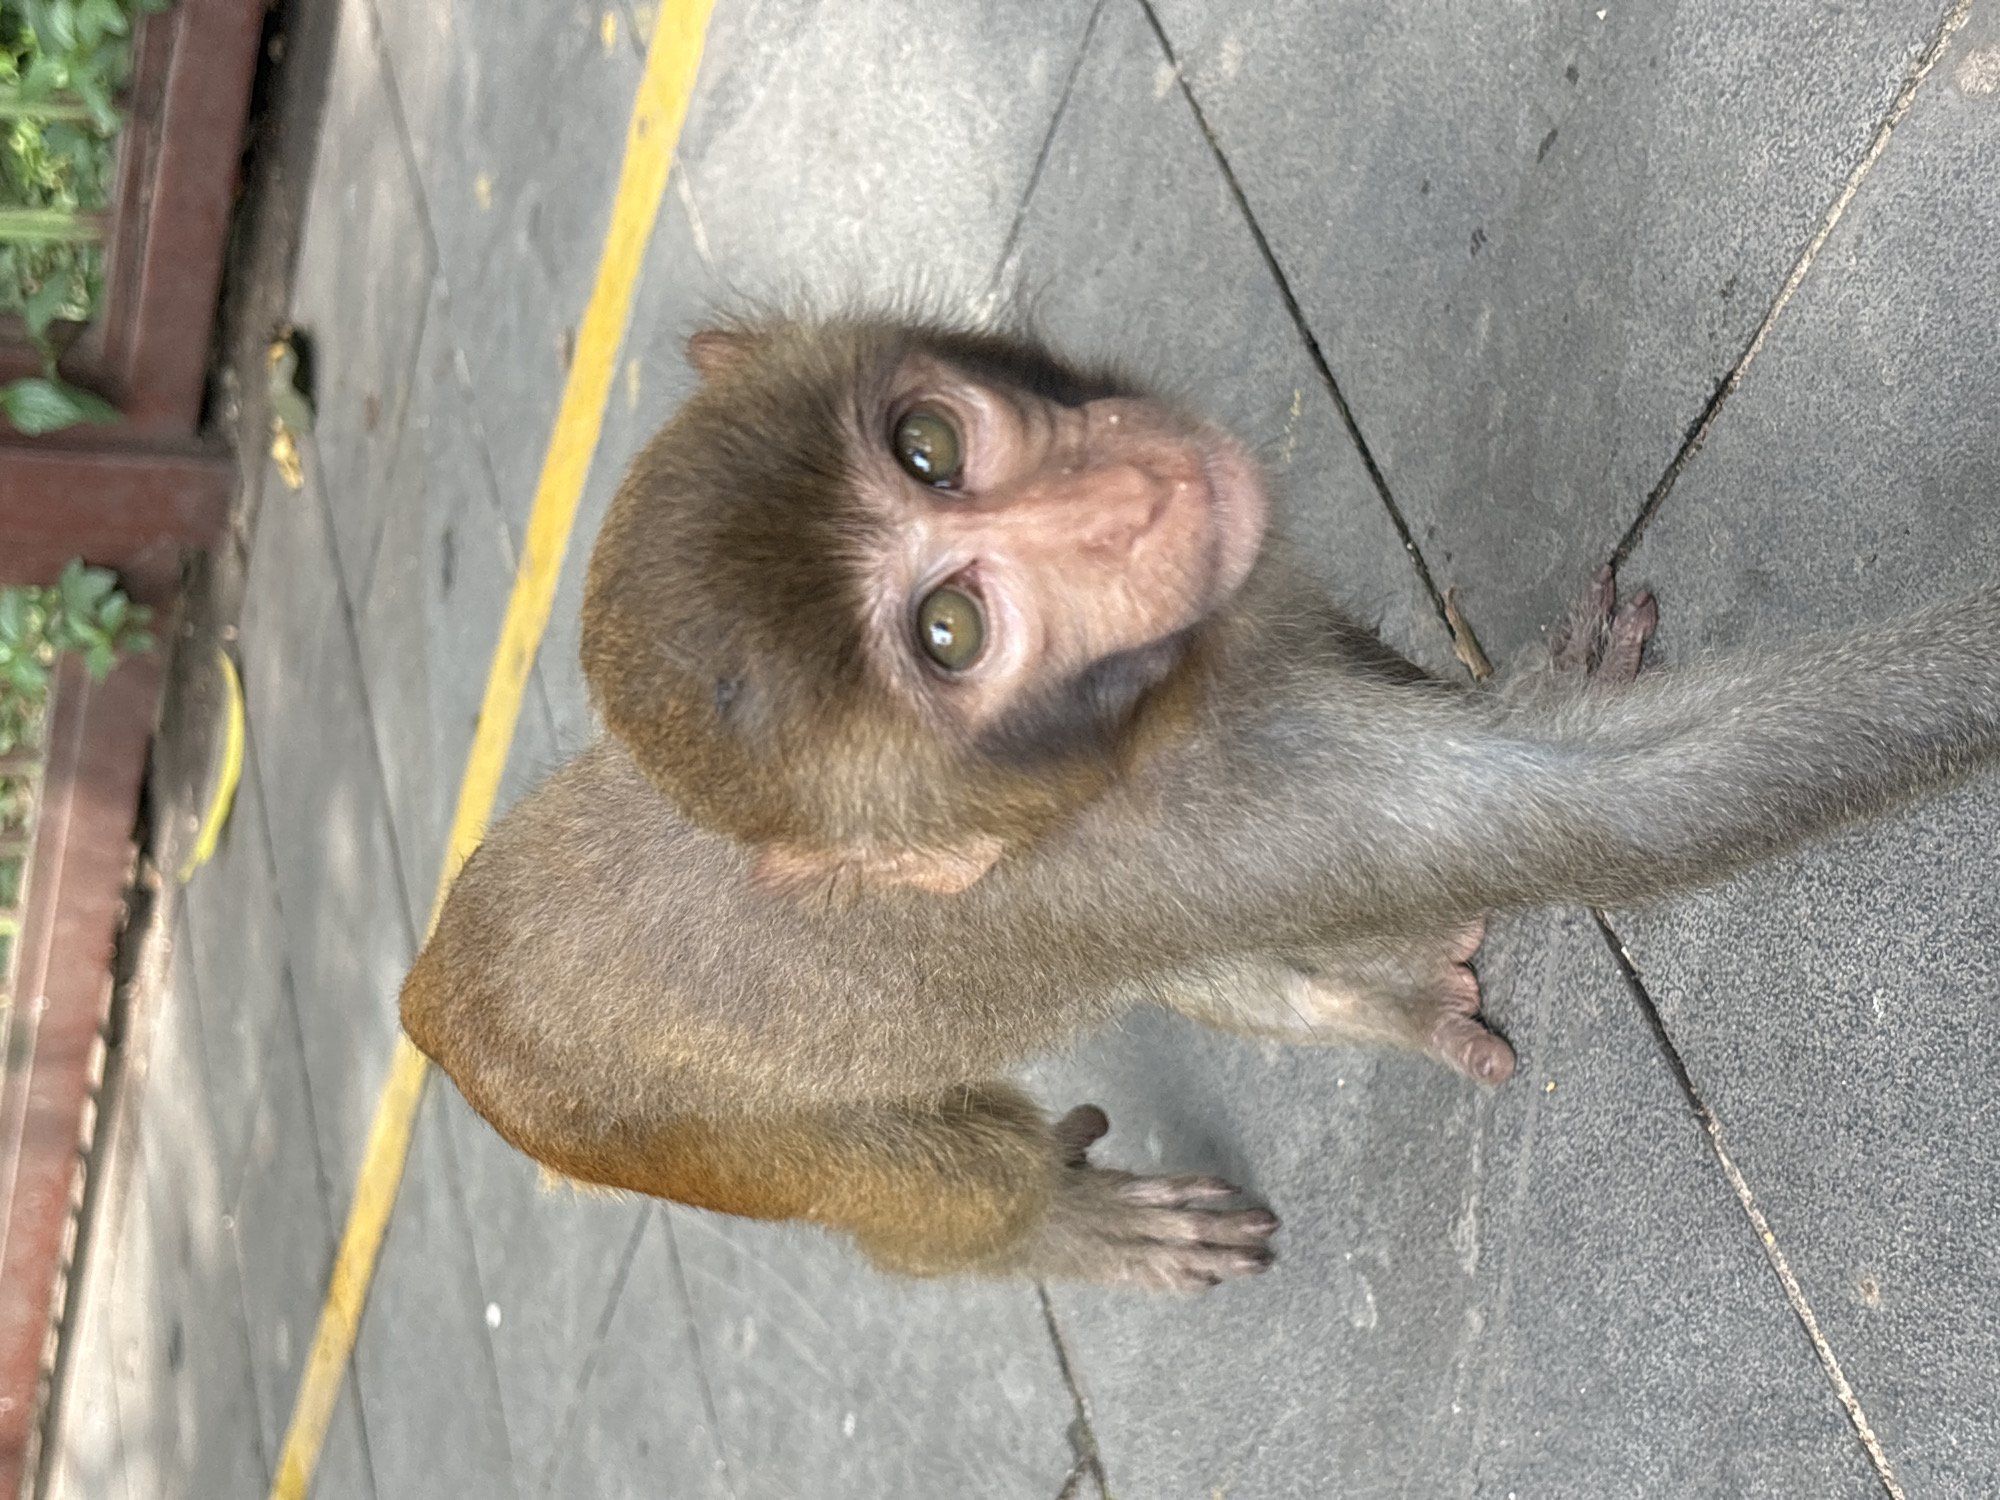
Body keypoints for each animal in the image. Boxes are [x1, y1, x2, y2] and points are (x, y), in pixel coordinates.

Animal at [400, 311, 2000, 1291]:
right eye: (951, 632)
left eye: (928, 444)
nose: (1123, 502)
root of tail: (432, 1006)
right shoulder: (1227, 816)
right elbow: (1630, 808)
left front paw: (1549, 675)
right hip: (677, 1138)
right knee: (943, 1183)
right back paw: (1050, 1226)